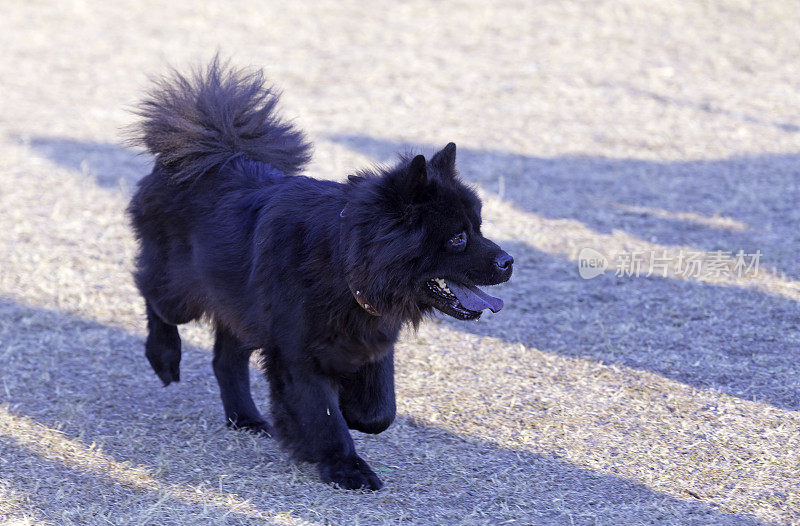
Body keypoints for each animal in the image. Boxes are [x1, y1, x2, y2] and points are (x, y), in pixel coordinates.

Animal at [125, 59, 512, 492]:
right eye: (458, 238)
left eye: (479, 227)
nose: (508, 260)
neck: (344, 266)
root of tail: (210, 151)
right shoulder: (297, 355)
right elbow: (324, 418)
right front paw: (346, 468)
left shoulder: (373, 342)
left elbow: (379, 411)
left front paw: (350, 414)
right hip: (181, 291)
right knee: (152, 295)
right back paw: (164, 358)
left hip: (238, 304)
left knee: (226, 360)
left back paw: (245, 418)